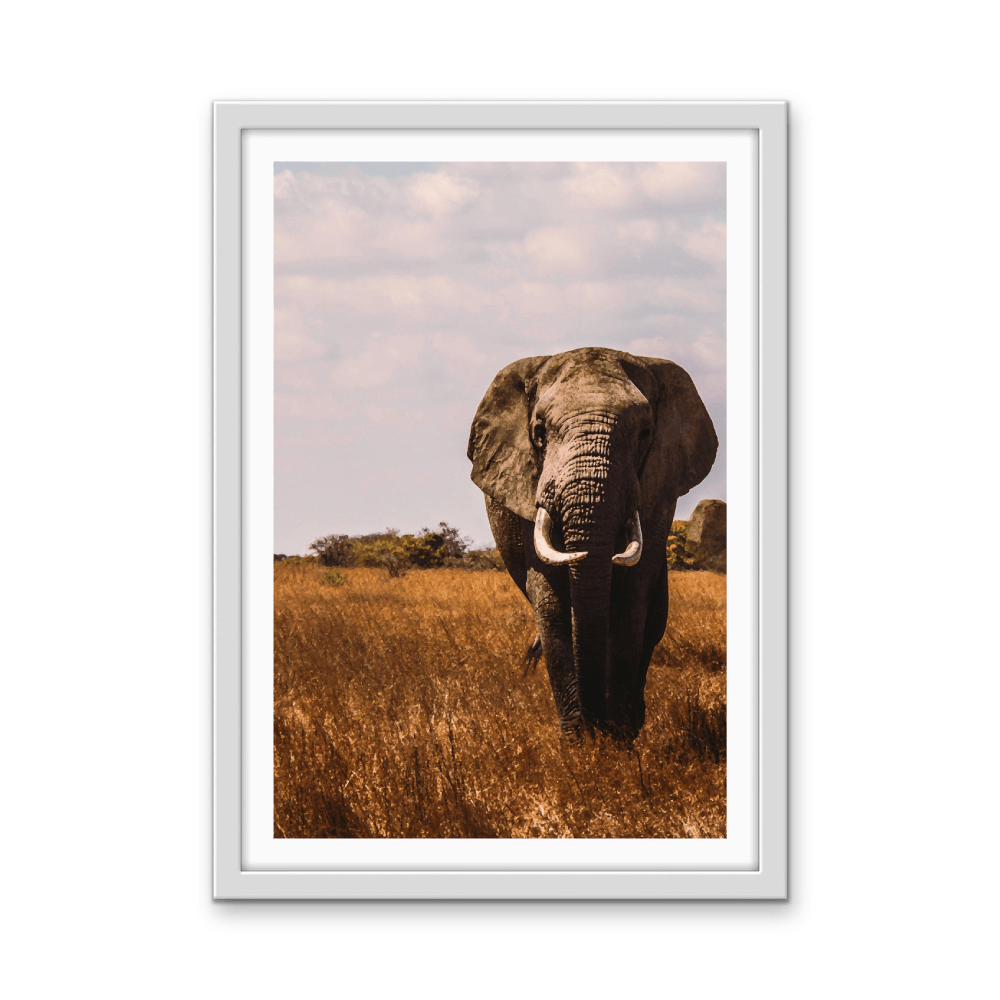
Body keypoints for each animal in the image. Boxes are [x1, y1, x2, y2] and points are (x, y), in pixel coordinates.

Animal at [467, 347, 718, 740]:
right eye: (539, 431)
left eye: (645, 432)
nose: (595, 725)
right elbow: (552, 601)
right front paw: (579, 742)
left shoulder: (657, 495)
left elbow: (633, 599)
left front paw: (618, 739)